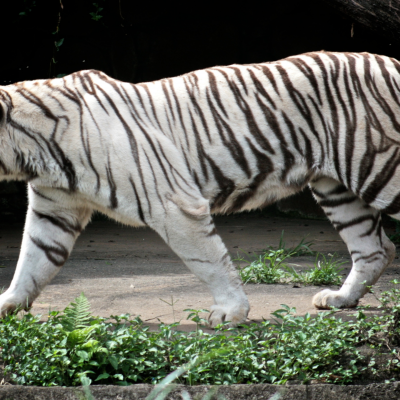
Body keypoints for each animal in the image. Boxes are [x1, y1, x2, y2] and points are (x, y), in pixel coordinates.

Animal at [0, 51, 400, 326]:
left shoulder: (173, 203)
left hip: (381, 169)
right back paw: (340, 299)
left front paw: (230, 312)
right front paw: (8, 304)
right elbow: (32, 261)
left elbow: (208, 261)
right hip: (336, 188)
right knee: (375, 249)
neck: (35, 151)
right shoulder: (54, 209)